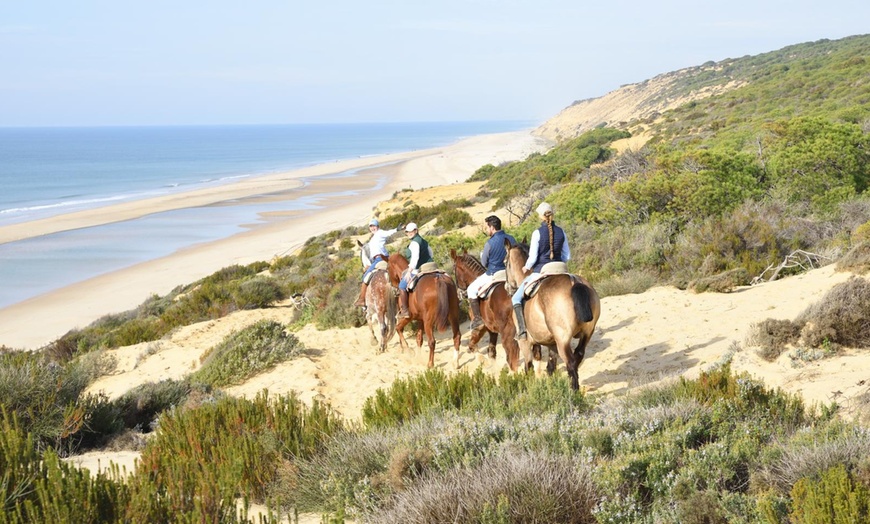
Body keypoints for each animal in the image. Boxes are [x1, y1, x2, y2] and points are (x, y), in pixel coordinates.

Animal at [503, 239, 601, 390]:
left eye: (504, 262)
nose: (507, 288)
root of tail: (574, 282)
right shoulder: (551, 343)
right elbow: (551, 366)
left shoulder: (524, 342)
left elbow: (528, 368)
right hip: (587, 333)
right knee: (578, 356)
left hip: (563, 340)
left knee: (571, 363)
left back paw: (573, 391)